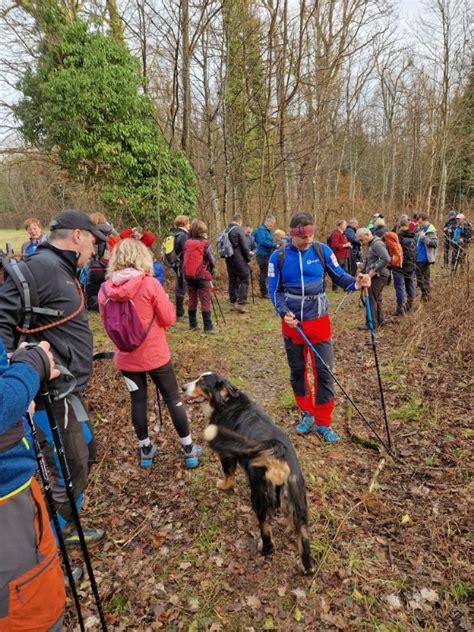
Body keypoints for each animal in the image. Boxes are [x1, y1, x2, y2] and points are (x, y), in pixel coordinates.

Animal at [181, 370, 314, 572]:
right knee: (303, 538)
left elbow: (228, 474)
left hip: (259, 498)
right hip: (298, 502)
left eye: (201, 382)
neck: (225, 401)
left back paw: (263, 548)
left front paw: (224, 486)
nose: (182, 387)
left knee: (266, 533)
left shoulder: (227, 454)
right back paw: (306, 566)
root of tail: (277, 450)